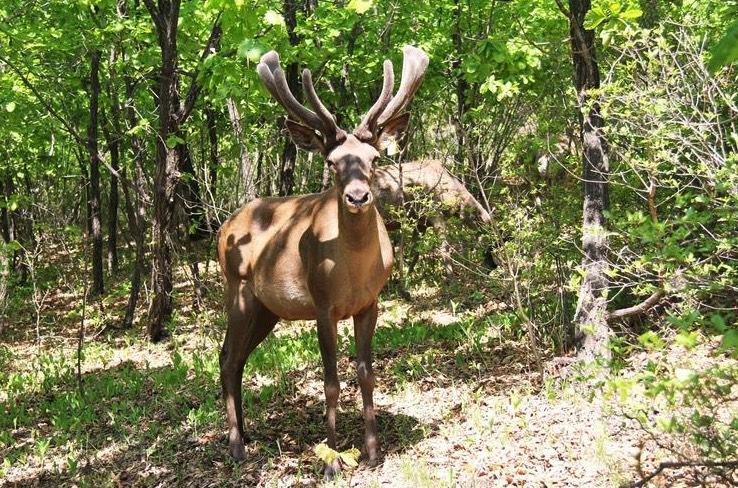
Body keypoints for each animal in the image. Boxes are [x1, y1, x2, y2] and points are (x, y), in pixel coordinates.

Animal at [216, 46, 428, 476]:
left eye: (374, 157)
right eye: (332, 162)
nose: (358, 197)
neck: (354, 271)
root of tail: (222, 228)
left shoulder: (370, 304)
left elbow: (366, 374)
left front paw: (374, 451)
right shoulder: (322, 305)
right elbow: (330, 381)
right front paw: (332, 460)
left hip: (267, 308)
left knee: (237, 356)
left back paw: (246, 432)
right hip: (238, 289)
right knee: (227, 358)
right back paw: (236, 446)